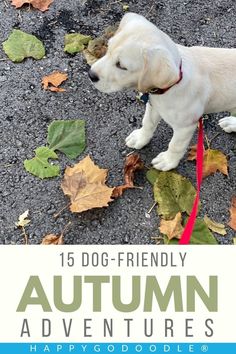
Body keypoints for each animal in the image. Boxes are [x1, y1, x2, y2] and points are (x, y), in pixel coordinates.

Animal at [88, 12, 236, 170]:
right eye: (108, 48)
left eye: (121, 66)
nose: (90, 75)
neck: (172, 86)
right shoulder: (154, 106)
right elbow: (147, 123)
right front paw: (140, 138)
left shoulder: (185, 126)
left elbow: (175, 145)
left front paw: (168, 160)